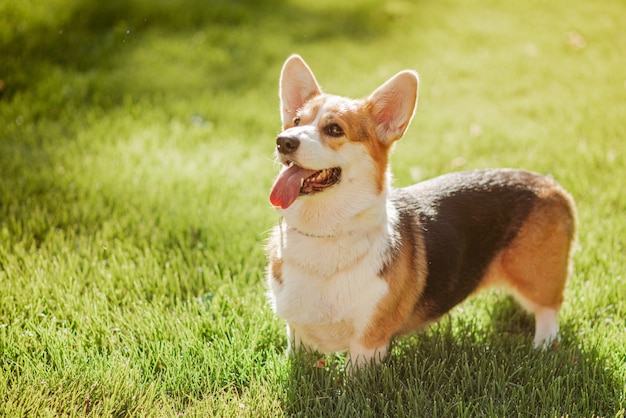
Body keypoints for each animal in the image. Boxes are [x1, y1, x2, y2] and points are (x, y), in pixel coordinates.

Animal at [264, 55, 576, 370]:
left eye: (335, 129)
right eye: (296, 122)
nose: (283, 140)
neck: (325, 233)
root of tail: (552, 185)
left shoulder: (368, 343)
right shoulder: (297, 334)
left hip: (537, 278)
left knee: (548, 310)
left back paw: (542, 347)